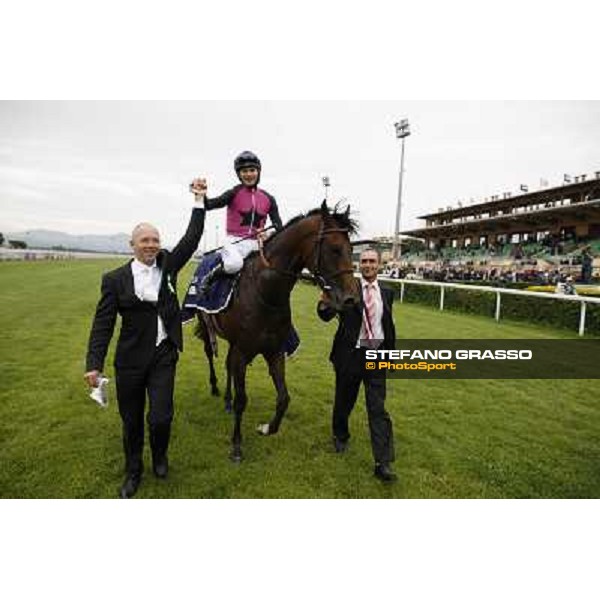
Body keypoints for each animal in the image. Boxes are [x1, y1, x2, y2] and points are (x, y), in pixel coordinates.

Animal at [195, 199, 358, 462]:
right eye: (334, 249)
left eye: (352, 249)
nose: (351, 299)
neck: (266, 292)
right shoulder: (244, 351)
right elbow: (243, 399)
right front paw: (236, 446)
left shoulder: (274, 351)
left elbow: (283, 398)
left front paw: (266, 427)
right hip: (205, 322)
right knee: (211, 354)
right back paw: (215, 387)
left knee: (228, 363)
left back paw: (227, 400)